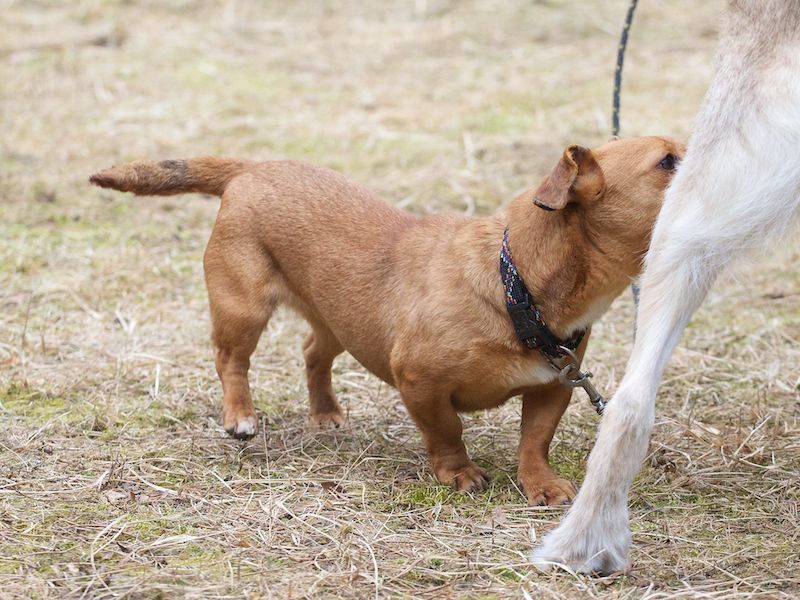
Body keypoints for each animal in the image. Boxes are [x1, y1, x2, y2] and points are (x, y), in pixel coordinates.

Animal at [90, 136, 682, 503]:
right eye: (667, 162)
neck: (515, 282)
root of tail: (252, 168)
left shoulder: (552, 386)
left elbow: (534, 441)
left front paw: (540, 484)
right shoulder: (420, 383)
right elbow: (447, 431)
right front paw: (458, 473)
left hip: (337, 318)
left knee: (313, 353)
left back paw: (326, 413)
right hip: (243, 308)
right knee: (230, 360)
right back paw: (240, 416)